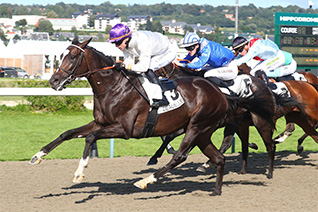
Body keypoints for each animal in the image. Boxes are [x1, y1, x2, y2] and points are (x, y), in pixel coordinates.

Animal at [28, 37, 274, 195]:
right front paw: (38, 156)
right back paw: (216, 190)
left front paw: (79, 173)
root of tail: (222, 94)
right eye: (60, 55)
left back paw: (146, 181)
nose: (54, 81)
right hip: (203, 132)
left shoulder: (125, 129)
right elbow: (68, 133)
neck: (114, 88)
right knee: (219, 158)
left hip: (197, 127)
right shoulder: (100, 122)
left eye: (72, 57)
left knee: (181, 156)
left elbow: (89, 138)